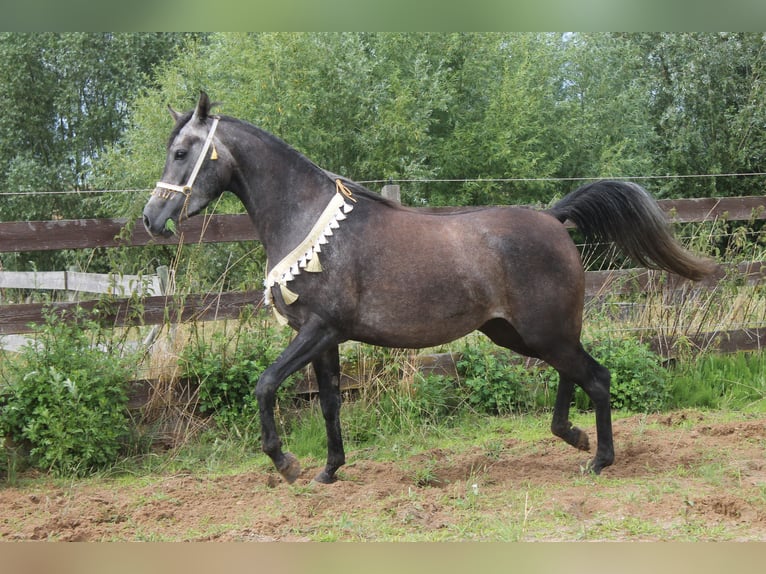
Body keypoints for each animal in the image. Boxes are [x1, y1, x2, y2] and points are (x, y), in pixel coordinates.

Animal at [142, 91, 717, 485]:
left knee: (596, 377)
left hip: (543, 332)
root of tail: (555, 220)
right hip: (520, 334)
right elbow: (329, 403)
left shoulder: (319, 329)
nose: (152, 218)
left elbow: (264, 384)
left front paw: (286, 463)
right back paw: (573, 437)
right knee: (574, 375)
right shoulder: (323, 338)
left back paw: (598, 458)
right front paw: (329, 470)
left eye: (183, 152)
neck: (312, 224)